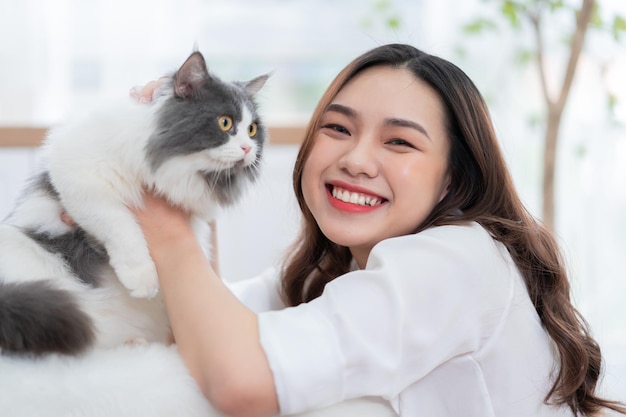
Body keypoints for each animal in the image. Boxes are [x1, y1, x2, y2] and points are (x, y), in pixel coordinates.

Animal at [0, 49, 266, 354]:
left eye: (252, 130)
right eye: (225, 123)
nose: (248, 149)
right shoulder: (79, 175)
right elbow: (120, 225)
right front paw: (142, 278)